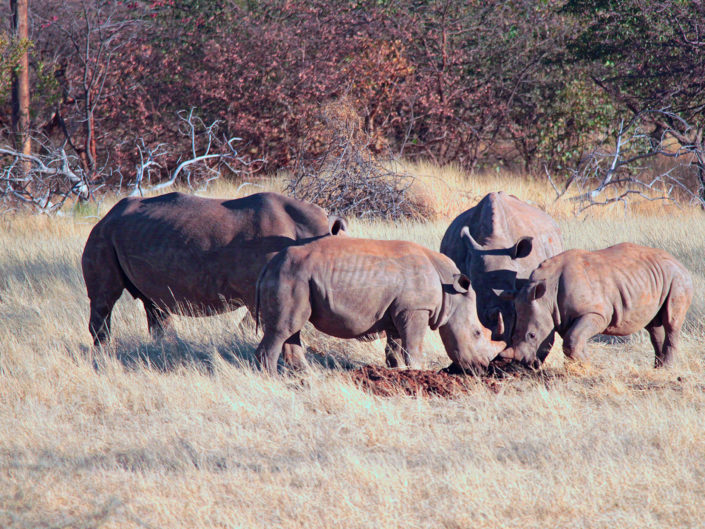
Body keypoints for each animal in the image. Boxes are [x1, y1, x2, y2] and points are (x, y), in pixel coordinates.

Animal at [81, 191, 346, 346]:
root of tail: (106, 214)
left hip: (133, 235)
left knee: (154, 303)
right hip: (102, 235)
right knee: (105, 299)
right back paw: (104, 354)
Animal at [254, 236, 505, 373]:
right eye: (476, 333)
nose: (482, 367)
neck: (450, 290)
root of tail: (269, 265)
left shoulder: (399, 311)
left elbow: (395, 349)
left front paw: (399, 374)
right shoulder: (416, 309)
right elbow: (413, 347)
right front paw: (418, 372)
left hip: (296, 276)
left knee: (291, 328)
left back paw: (307, 378)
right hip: (291, 276)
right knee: (283, 328)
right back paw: (272, 380)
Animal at [499, 243, 693, 368]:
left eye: (532, 335)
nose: (526, 364)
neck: (547, 296)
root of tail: (679, 263)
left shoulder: (596, 313)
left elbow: (572, 339)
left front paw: (586, 366)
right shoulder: (562, 317)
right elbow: (574, 340)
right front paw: (580, 365)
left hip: (678, 279)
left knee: (671, 322)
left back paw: (667, 369)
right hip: (655, 278)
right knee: (653, 326)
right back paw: (656, 368)